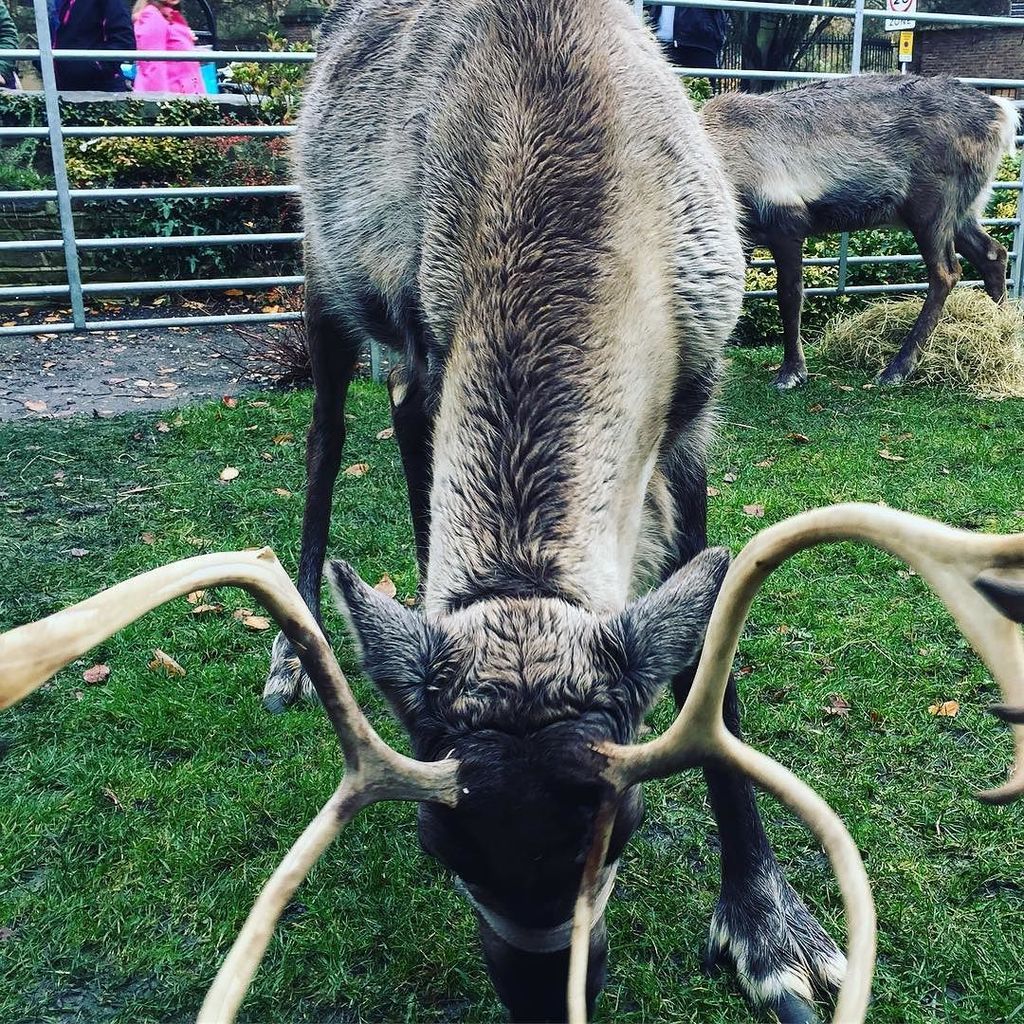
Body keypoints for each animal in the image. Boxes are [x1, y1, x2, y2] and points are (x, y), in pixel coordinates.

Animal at [700, 75, 1019, 390]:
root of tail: (1002, 114)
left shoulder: (787, 224)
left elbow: (789, 295)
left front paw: (792, 371)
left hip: (932, 207)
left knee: (946, 273)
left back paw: (897, 368)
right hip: (961, 212)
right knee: (993, 253)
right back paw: (1007, 336)